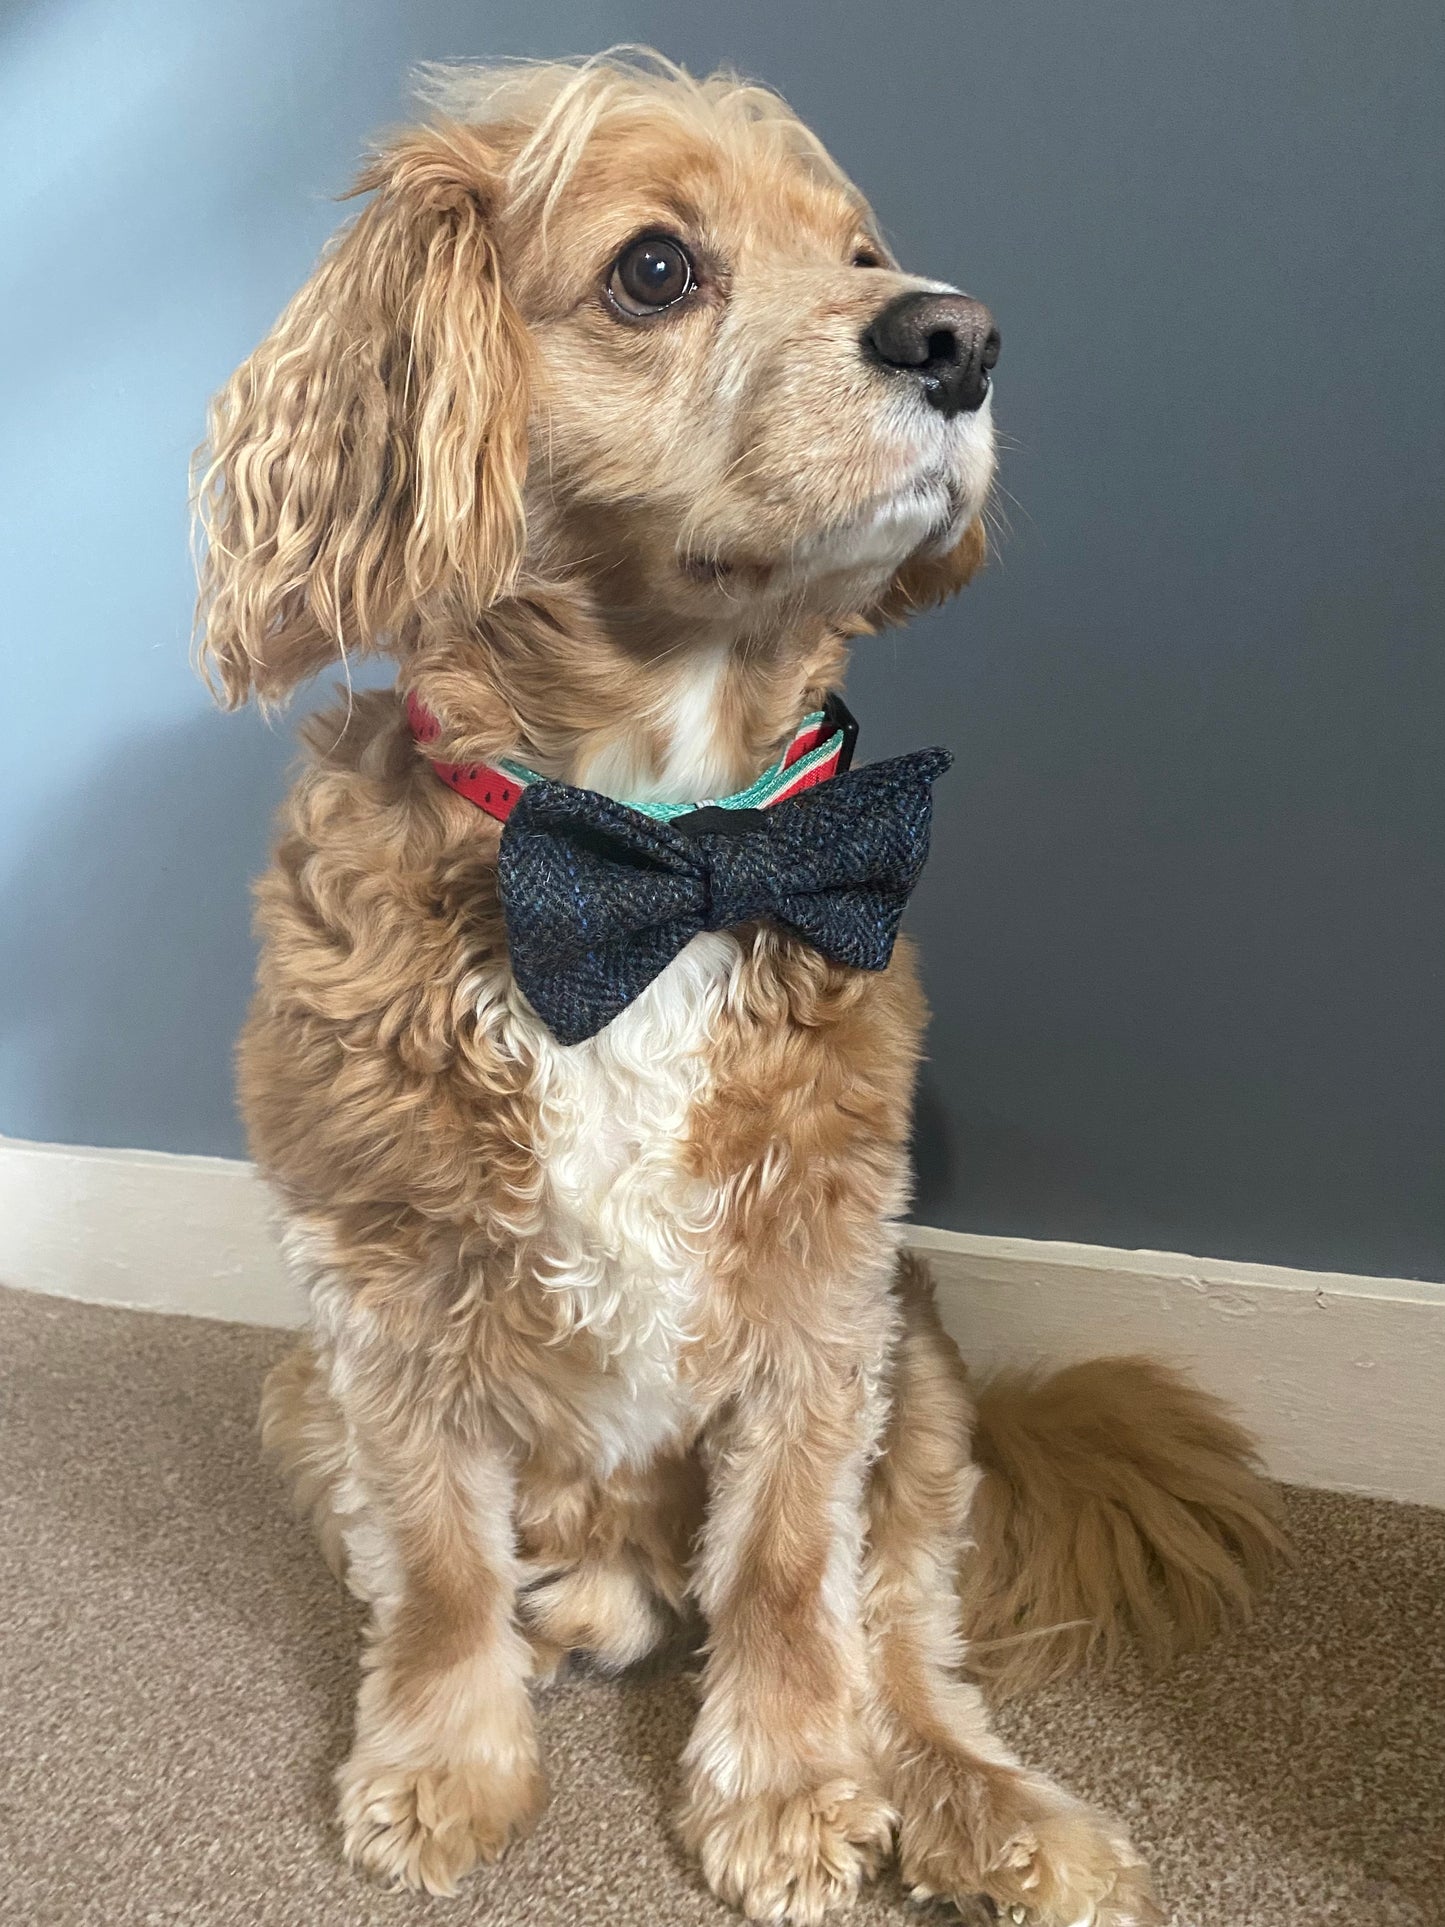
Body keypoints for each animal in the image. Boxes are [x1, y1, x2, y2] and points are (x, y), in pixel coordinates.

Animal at [195, 56, 1287, 1927]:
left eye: (861, 250)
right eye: (654, 268)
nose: (959, 334)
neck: (663, 848)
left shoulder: (823, 1286)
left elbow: (787, 1566)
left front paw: (784, 1787)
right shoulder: (381, 1293)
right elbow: (434, 1562)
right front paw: (441, 1764)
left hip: (923, 1378)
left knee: (893, 1625)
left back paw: (985, 1806)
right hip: (300, 1393)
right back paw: (577, 1612)